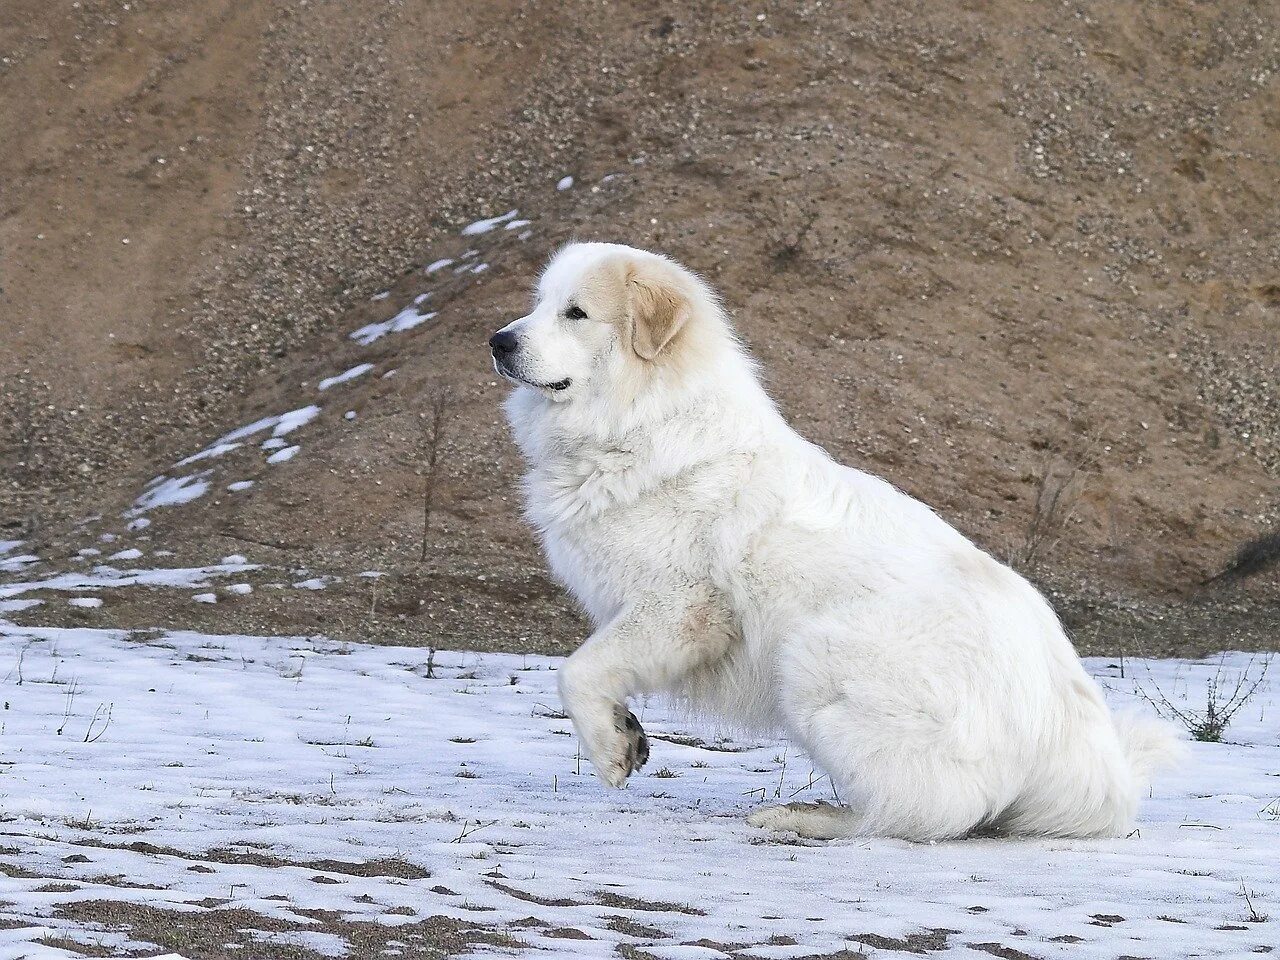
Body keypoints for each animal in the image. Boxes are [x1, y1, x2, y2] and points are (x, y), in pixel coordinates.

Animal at [491, 241, 1177, 839]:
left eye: (576, 313)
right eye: (539, 301)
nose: (498, 340)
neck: (646, 422)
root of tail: (1076, 742)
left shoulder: (681, 607)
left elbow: (577, 670)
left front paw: (609, 749)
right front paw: (627, 733)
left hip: (812, 657)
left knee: (926, 811)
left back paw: (808, 817)